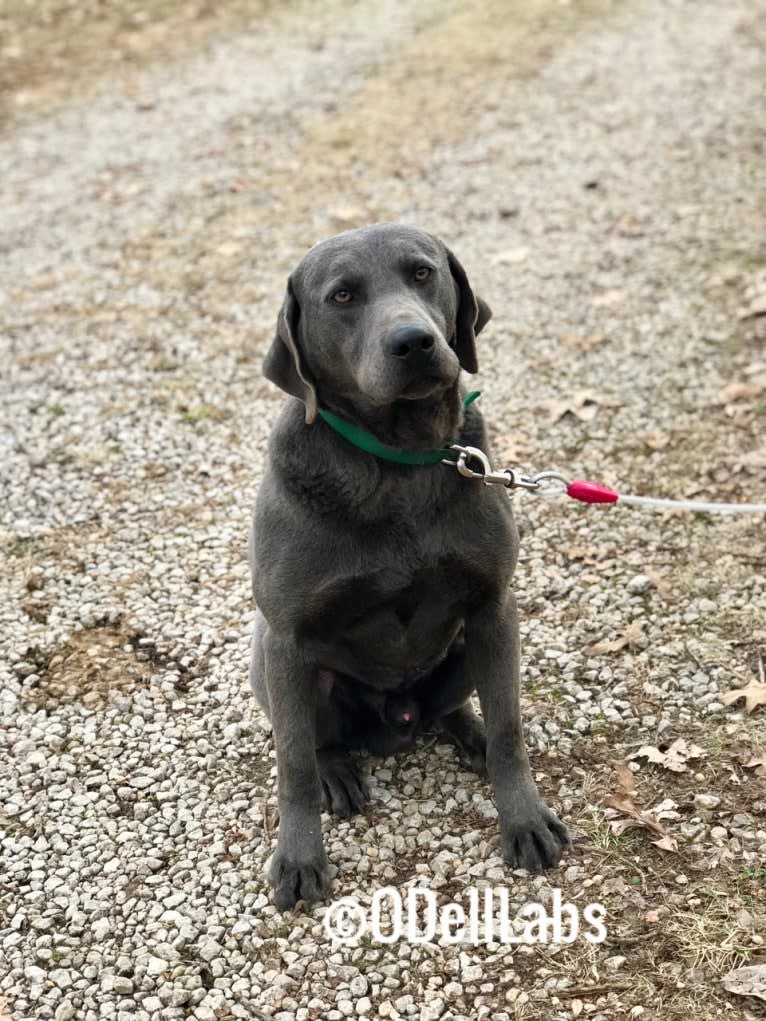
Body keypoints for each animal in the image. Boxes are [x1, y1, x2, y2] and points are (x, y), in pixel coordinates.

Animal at [252, 223, 571, 910]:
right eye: (342, 296)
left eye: (423, 273)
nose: (415, 341)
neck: (397, 463)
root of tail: (395, 722)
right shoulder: (287, 639)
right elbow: (292, 763)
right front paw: (299, 856)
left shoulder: (494, 608)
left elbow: (510, 728)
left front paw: (523, 818)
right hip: (270, 662)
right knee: (319, 741)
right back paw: (338, 772)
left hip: (469, 648)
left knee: (459, 705)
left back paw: (467, 732)